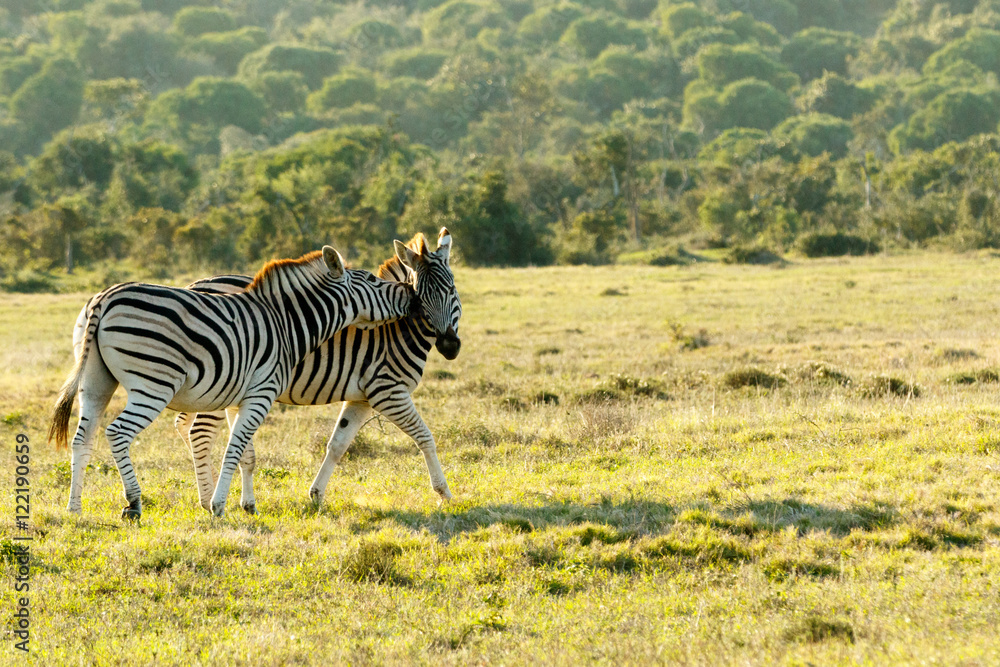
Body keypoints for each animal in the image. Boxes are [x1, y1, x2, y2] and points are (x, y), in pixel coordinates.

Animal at [50, 245, 415, 519]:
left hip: (96, 381)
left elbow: (241, 452)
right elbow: (234, 447)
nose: (410, 295)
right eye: (373, 280)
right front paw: (218, 505)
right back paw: (134, 503)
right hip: (154, 383)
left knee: (83, 439)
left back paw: (74, 507)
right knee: (117, 432)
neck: (286, 324)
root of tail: (104, 299)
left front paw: (238, 502)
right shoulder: (261, 394)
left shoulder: (240, 397)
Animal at [172, 228, 461, 512]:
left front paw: (316, 495)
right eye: (420, 296)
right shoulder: (387, 391)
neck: (397, 331)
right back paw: (207, 499)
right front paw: (444, 493)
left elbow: (337, 444)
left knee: (184, 424)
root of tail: (194, 285)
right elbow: (425, 437)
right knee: (200, 433)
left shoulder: (361, 399)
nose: (449, 346)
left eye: (450, 289)